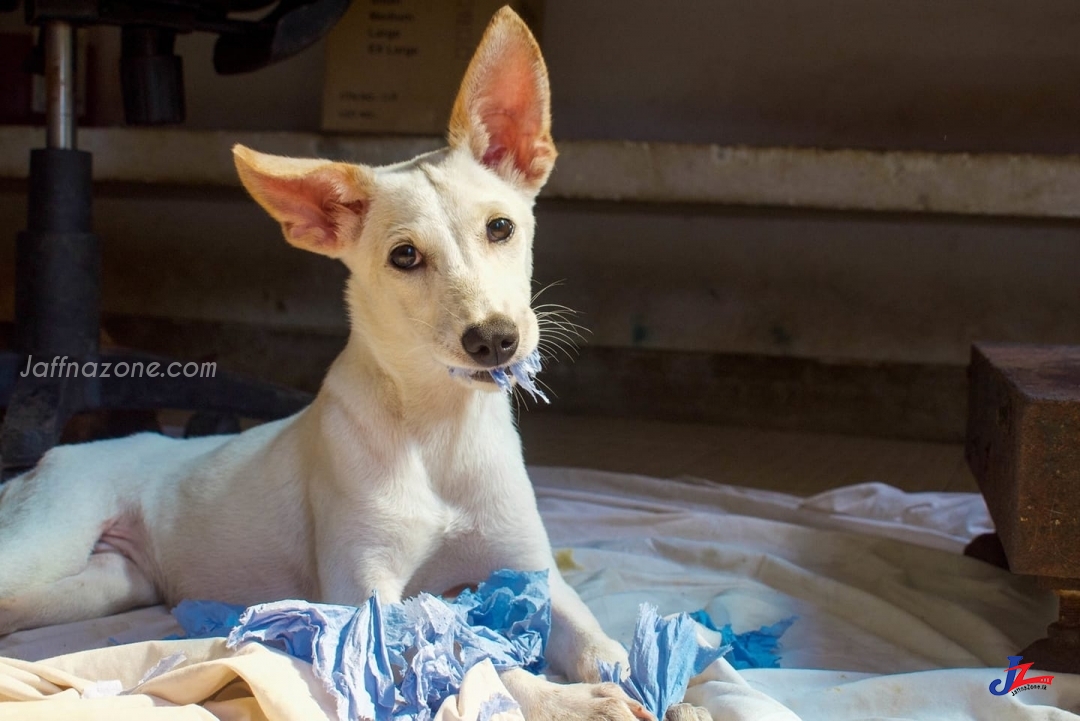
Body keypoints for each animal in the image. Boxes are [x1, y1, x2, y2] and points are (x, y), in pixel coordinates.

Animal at [0, 5, 665, 721]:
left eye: (500, 228)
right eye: (405, 256)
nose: (494, 341)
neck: (438, 429)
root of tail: (51, 458)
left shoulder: (533, 571)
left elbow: (595, 639)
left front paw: (649, 681)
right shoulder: (368, 600)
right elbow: (475, 660)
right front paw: (561, 701)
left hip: (98, 584)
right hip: (43, 547)